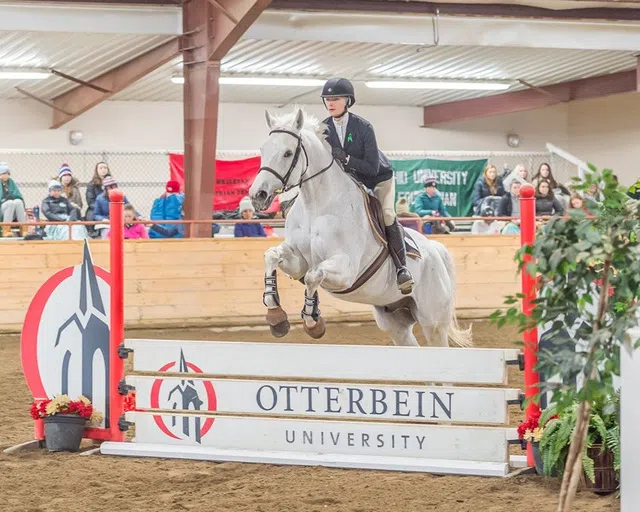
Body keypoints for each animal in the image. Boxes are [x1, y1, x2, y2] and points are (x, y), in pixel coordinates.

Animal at [248, 107, 472, 348]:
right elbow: (272, 256)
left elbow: (312, 275)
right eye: (262, 149)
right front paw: (276, 317)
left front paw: (313, 322)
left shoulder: (346, 270)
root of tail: (436, 250)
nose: (257, 195)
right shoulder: (298, 260)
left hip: (433, 322)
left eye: (288, 153)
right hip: (395, 322)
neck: (317, 205)